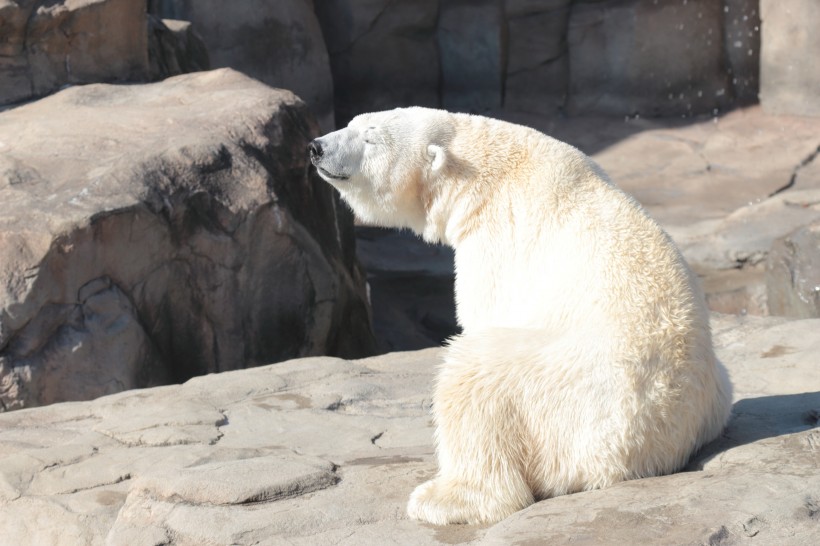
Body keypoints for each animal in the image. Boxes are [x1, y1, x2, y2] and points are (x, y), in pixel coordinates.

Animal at [308, 106, 732, 524]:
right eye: (350, 123)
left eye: (370, 138)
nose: (316, 147)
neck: (482, 172)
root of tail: (658, 446)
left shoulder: (497, 239)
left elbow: (486, 314)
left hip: (571, 400)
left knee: (476, 374)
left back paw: (443, 498)